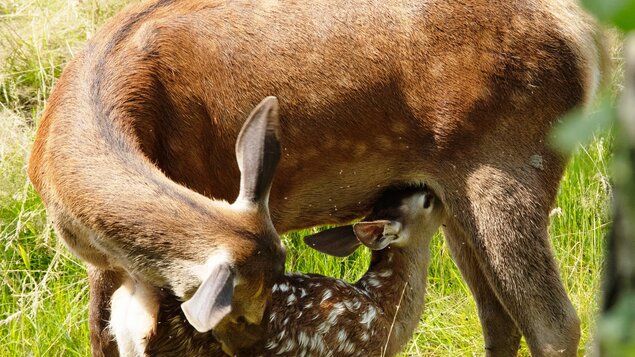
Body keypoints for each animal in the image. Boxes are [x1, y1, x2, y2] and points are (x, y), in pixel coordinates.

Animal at [28, 0, 608, 356]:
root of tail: (580, 31)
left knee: (555, 323)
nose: (258, 346)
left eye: (251, 301)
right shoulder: (105, 264)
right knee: (499, 318)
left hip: (509, 160)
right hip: (454, 192)